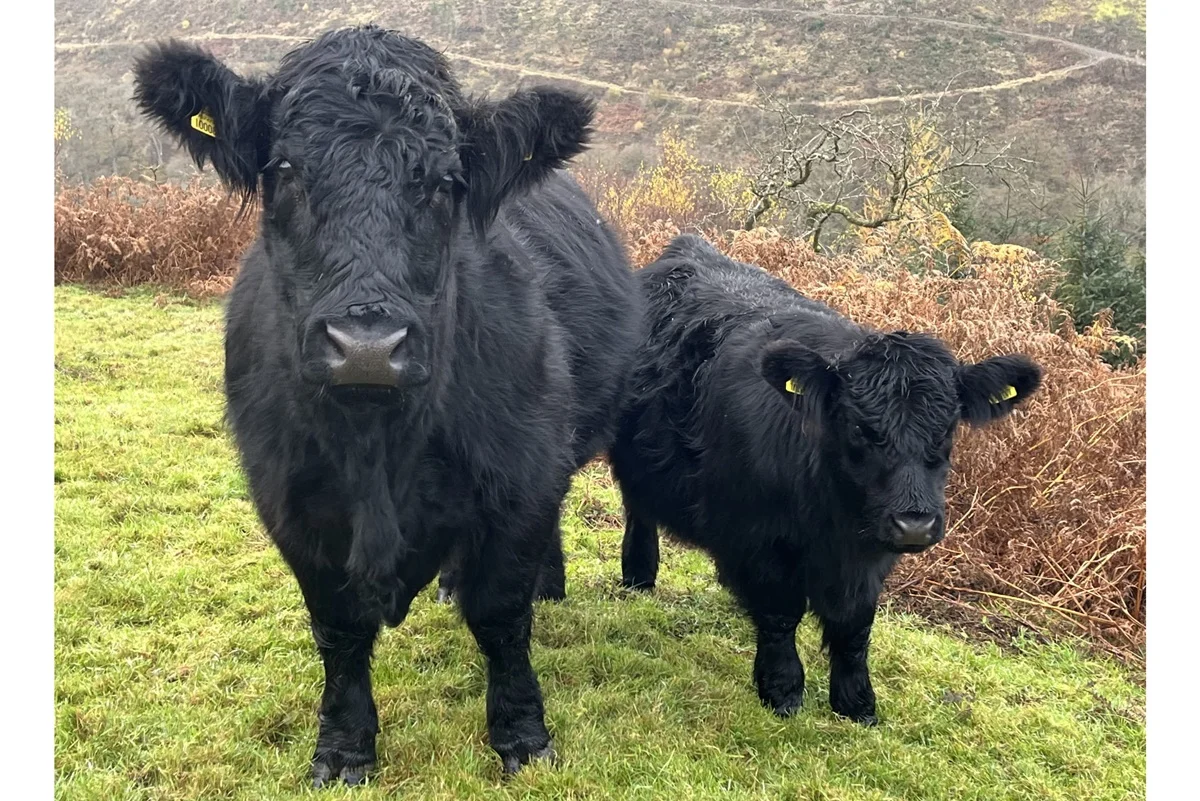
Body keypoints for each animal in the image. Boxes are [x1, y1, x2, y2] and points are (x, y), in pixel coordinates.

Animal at [133, 25, 644, 785]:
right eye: (285, 169)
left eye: (444, 182)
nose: (367, 346)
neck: (378, 451)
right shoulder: (292, 505)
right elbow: (339, 631)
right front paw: (344, 750)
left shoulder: (518, 480)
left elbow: (501, 616)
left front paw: (523, 738)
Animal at [609, 234, 1041, 725]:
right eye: (858, 427)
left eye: (949, 429)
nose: (914, 524)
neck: (833, 521)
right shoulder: (758, 538)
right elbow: (780, 616)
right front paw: (782, 690)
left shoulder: (871, 555)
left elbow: (854, 626)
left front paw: (857, 703)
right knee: (639, 510)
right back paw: (639, 577)